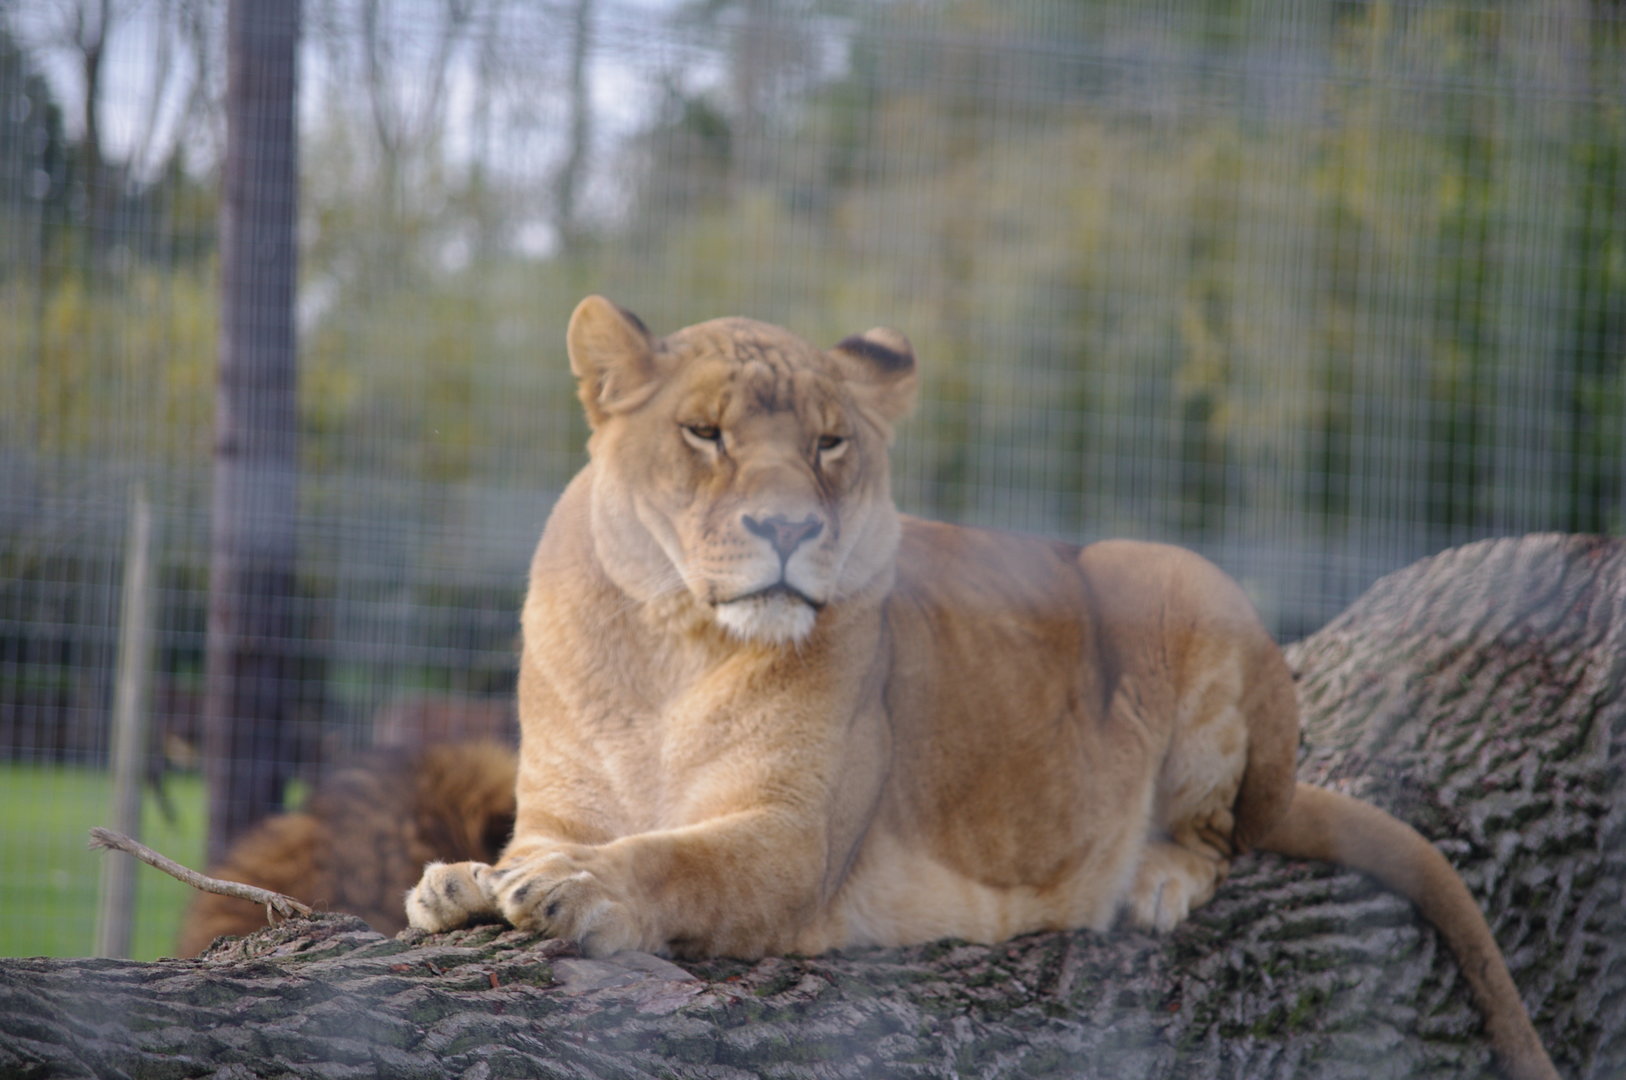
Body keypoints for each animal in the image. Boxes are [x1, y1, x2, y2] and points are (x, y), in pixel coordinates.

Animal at [406, 296, 1556, 1080]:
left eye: (830, 443)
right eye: (705, 433)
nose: (788, 527)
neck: (672, 647)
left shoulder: (796, 840)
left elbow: (674, 860)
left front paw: (580, 891)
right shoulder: (556, 806)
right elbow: (539, 849)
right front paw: (458, 881)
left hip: (1169, 577)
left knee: (1230, 830)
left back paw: (1154, 877)